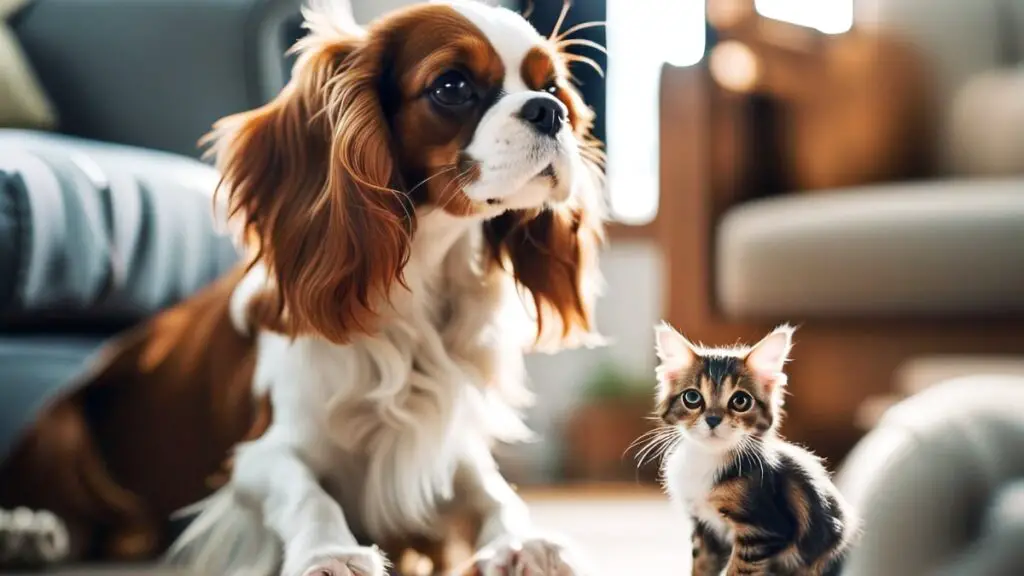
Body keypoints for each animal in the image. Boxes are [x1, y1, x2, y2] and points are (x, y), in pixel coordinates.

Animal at [651, 323, 860, 573]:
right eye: (692, 397)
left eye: (740, 401)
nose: (713, 419)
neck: (708, 459)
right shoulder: (705, 529)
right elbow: (701, 566)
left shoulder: (762, 531)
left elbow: (737, 570)